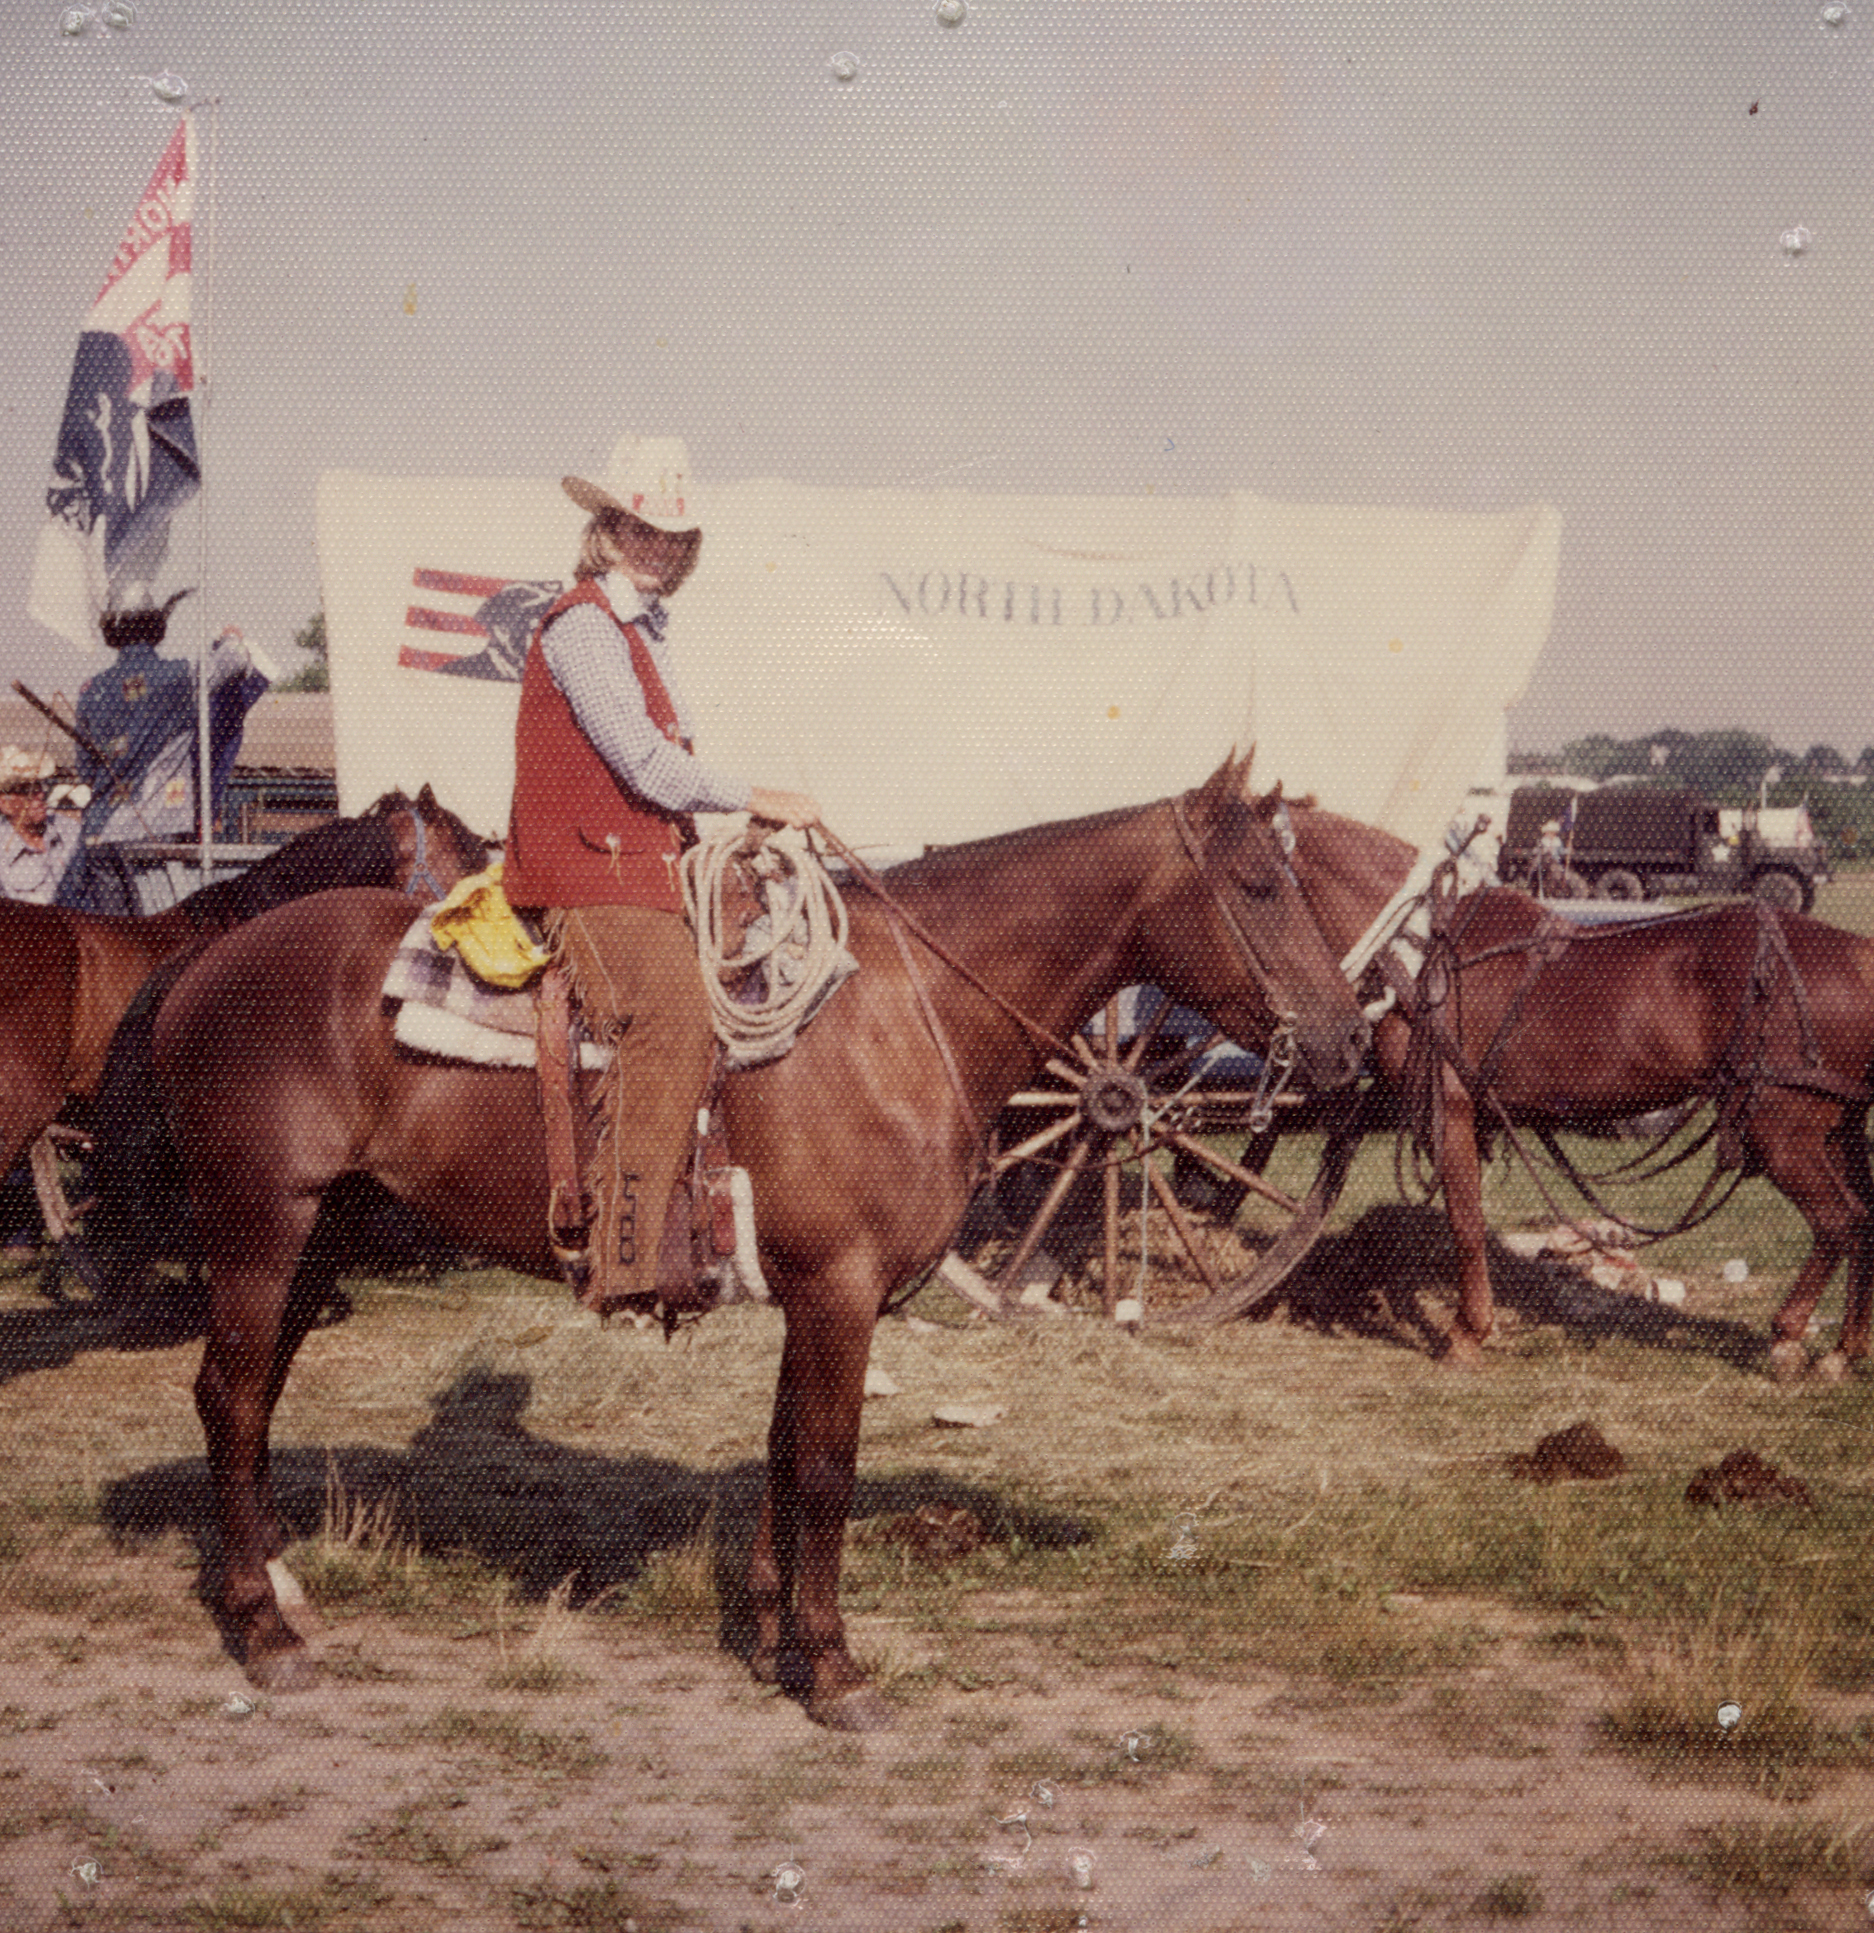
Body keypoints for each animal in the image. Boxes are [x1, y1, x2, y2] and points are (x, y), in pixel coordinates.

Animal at [136, 754, 1370, 1728]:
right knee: (231, 1394)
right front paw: (832, 1666)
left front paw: (778, 1628)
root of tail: (202, 963)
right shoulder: (841, 1288)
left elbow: (783, 1450)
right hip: (261, 1224)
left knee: (252, 1396)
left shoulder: (810, 1291)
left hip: (320, 1232)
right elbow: (825, 1464)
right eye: (1260, 884)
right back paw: (263, 1633)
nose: (1349, 1042)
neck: (892, 1011)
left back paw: (280, 1586)